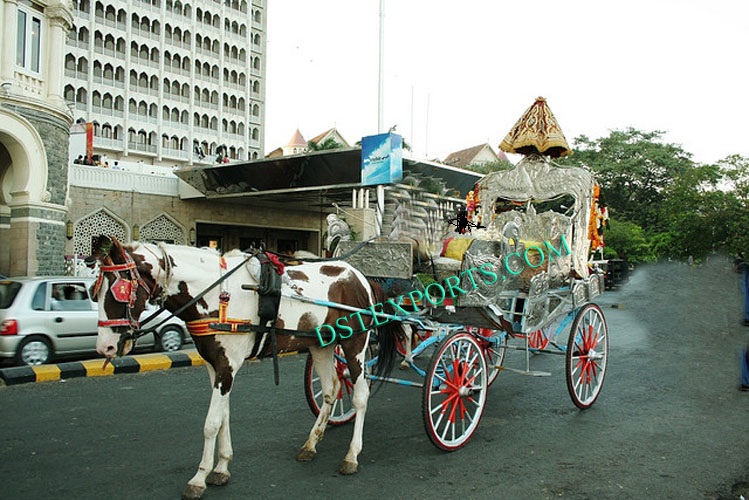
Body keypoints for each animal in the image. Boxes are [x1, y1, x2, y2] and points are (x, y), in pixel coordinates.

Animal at [89, 236, 398, 498]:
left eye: (118, 291)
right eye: (95, 291)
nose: (105, 348)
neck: (218, 293)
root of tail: (360, 276)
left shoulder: (227, 366)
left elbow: (211, 423)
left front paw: (199, 478)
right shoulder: (215, 366)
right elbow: (224, 416)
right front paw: (221, 468)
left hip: (355, 343)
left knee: (360, 395)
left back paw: (351, 455)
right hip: (321, 345)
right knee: (332, 388)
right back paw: (311, 444)